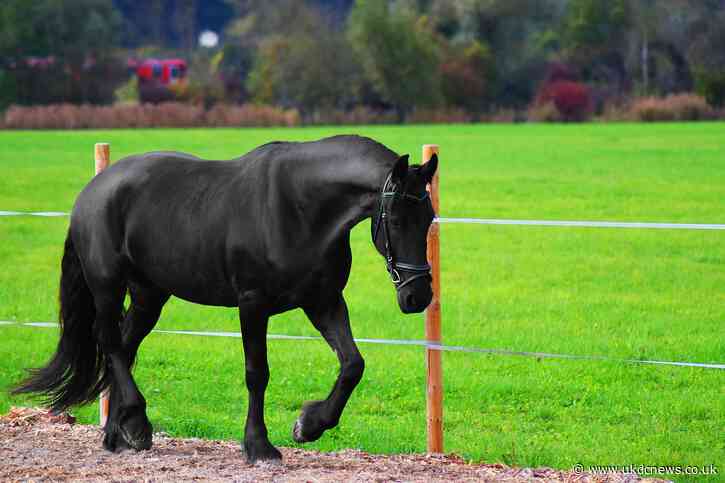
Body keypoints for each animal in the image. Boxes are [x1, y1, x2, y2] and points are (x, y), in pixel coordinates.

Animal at [13, 135, 438, 463]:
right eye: (396, 220)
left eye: (429, 218)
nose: (417, 296)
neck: (301, 208)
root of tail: (94, 189)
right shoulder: (253, 305)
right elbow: (257, 374)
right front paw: (259, 446)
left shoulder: (323, 302)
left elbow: (352, 364)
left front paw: (309, 425)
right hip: (107, 287)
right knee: (112, 344)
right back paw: (136, 422)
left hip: (150, 295)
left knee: (126, 347)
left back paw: (120, 435)